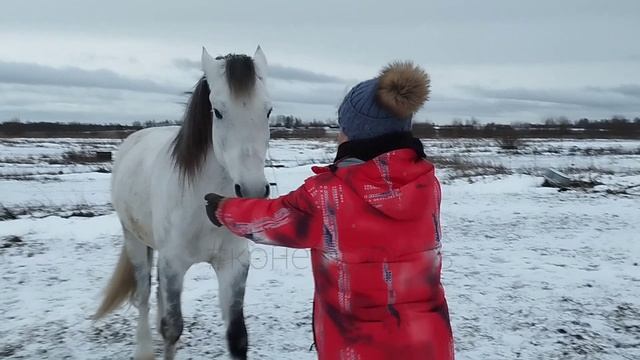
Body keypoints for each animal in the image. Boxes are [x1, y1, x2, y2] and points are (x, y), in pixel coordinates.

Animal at [94, 47, 272, 360]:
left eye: (268, 111)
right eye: (218, 112)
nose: (252, 190)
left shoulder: (233, 265)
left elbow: (237, 336)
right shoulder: (174, 263)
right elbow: (172, 328)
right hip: (135, 240)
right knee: (144, 294)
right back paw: (144, 349)